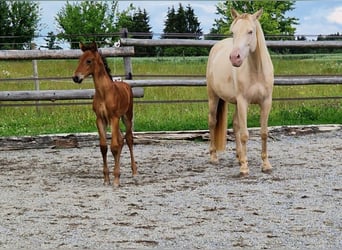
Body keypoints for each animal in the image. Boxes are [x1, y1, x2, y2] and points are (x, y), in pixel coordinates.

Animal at [206, 8, 276, 176]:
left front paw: (266, 165)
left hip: (236, 102)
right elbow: (245, 134)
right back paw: (214, 156)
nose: (234, 58)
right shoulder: (244, 101)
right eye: (233, 32)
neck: (257, 70)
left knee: (236, 124)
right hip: (213, 97)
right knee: (212, 122)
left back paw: (239, 156)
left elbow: (264, 133)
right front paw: (244, 167)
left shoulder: (266, 102)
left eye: (250, 31)